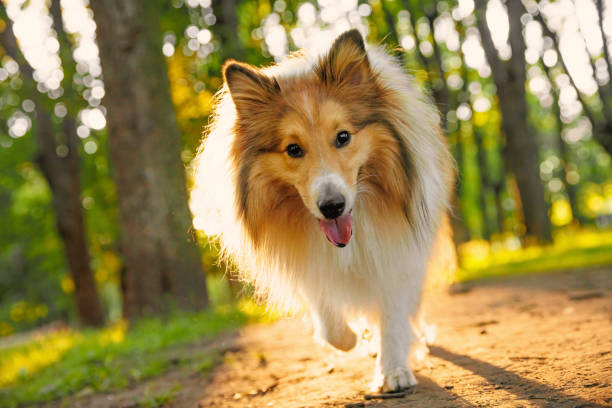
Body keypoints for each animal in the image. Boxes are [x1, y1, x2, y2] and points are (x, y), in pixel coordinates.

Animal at [191, 29, 454, 392]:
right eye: (293, 149)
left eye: (343, 136)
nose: (332, 207)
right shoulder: (307, 262)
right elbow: (328, 317)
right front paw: (350, 339)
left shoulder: (398, 253)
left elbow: (393, 312)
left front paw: (393, 370)